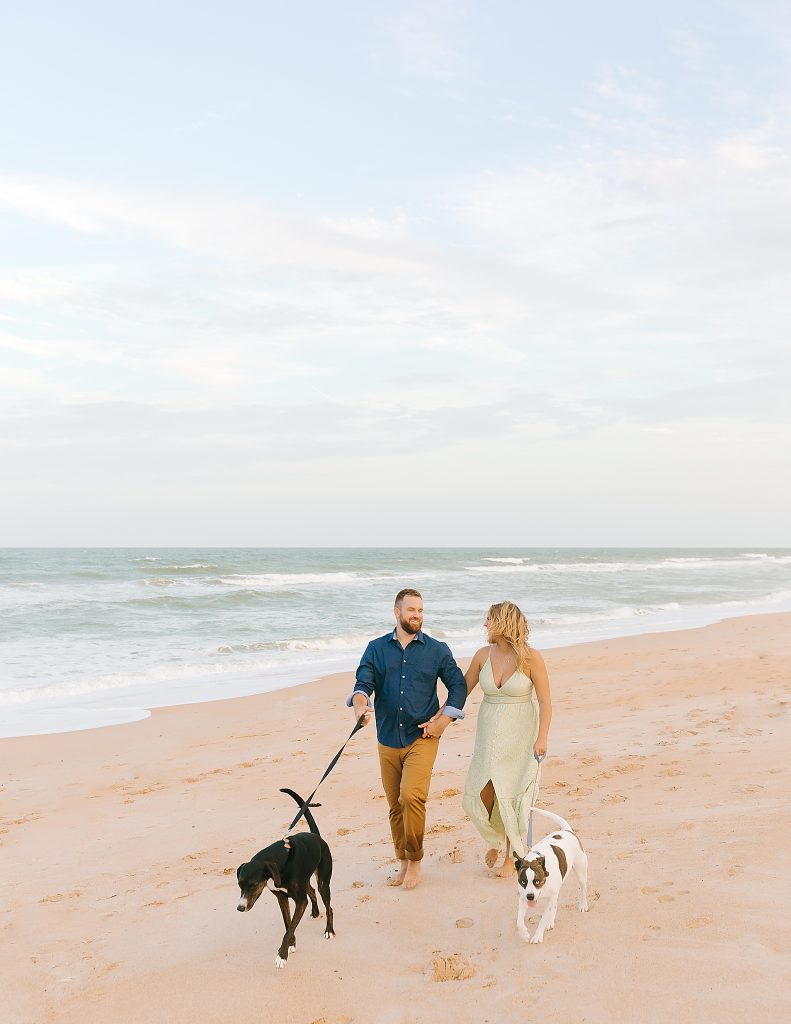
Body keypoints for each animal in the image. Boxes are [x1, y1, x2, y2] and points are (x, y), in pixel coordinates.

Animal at [234, 790, 334, 966]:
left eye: (253, 885)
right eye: (240, 884)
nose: (240, 908)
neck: (279, 863)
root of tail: (316, 837)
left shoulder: (300, 901)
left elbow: (291, 926)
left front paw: (282, 955)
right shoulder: (282, 899)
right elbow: (288, 924)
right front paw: (291, 945)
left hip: (323, 881)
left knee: (329, 906)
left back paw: (329, 930)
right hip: (305, 881)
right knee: (312, 891)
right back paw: (315, 912)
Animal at [512, 806, 586, 942]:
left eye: (536, 881)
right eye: (523, 882)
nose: (530, 896)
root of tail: (567, 830)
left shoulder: (549, 897)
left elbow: (542, 919)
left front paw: (537, 936)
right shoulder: (523, 897)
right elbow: (519, 921)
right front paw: (524, 934)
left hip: (581, 872)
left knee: (583, 888)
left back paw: (583, 905)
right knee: (555, 905)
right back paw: (550, 922)